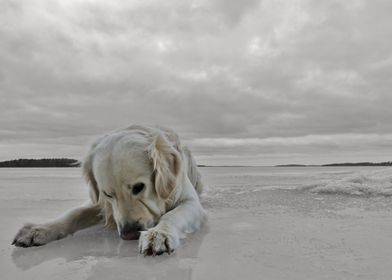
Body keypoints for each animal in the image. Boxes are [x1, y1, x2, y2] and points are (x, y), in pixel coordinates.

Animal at [11, 125, 205, 256]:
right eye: (108, 194)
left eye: (139, 187)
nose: (128, 233)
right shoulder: (101, 203)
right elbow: (74, 213)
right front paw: (38, 229)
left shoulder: (189, 201)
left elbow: (173, 215)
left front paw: (159, 234)